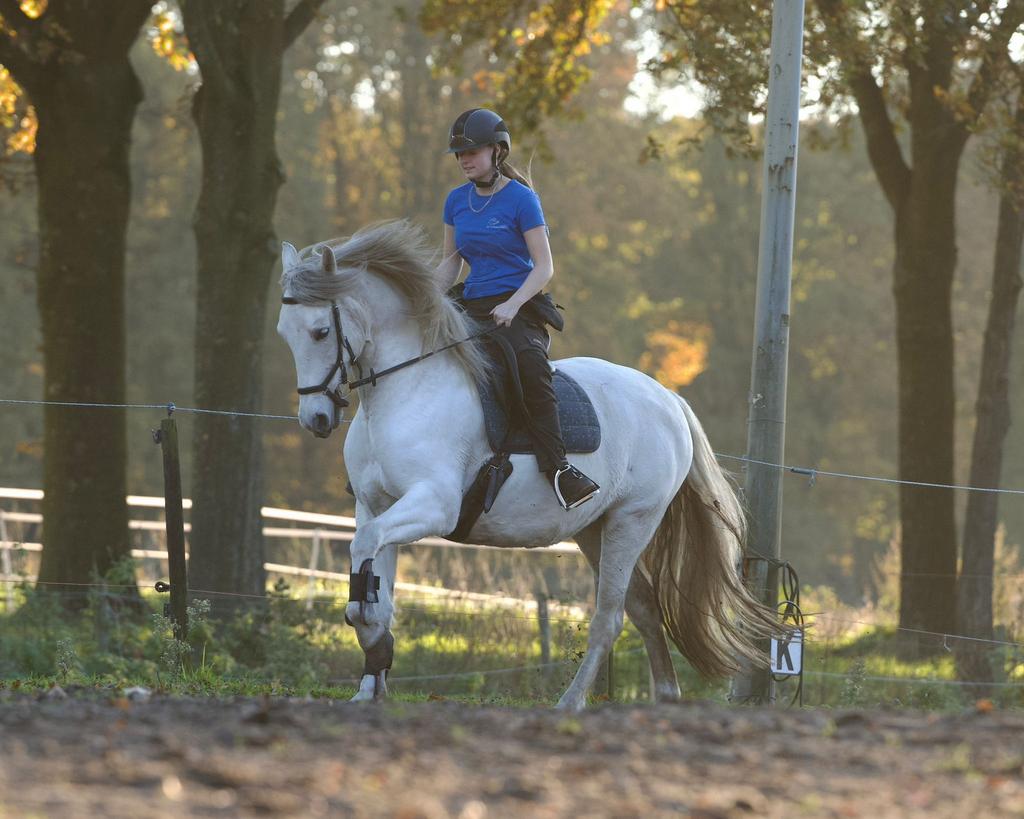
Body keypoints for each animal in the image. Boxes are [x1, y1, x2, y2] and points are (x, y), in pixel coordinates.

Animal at [277, 220, 778, 711]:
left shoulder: (433, 506)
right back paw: (666, 697)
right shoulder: (374, 506)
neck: (409, 388)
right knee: (644, 609)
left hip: (632, 521)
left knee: (610, 618)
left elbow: (366, 566)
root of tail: (668, 399)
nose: (316, 419)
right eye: (285, 333)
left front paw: (370, 638)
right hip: (594, 530)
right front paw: (371, 680)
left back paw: (571, 703)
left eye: (320, 331)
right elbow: (374, 582)